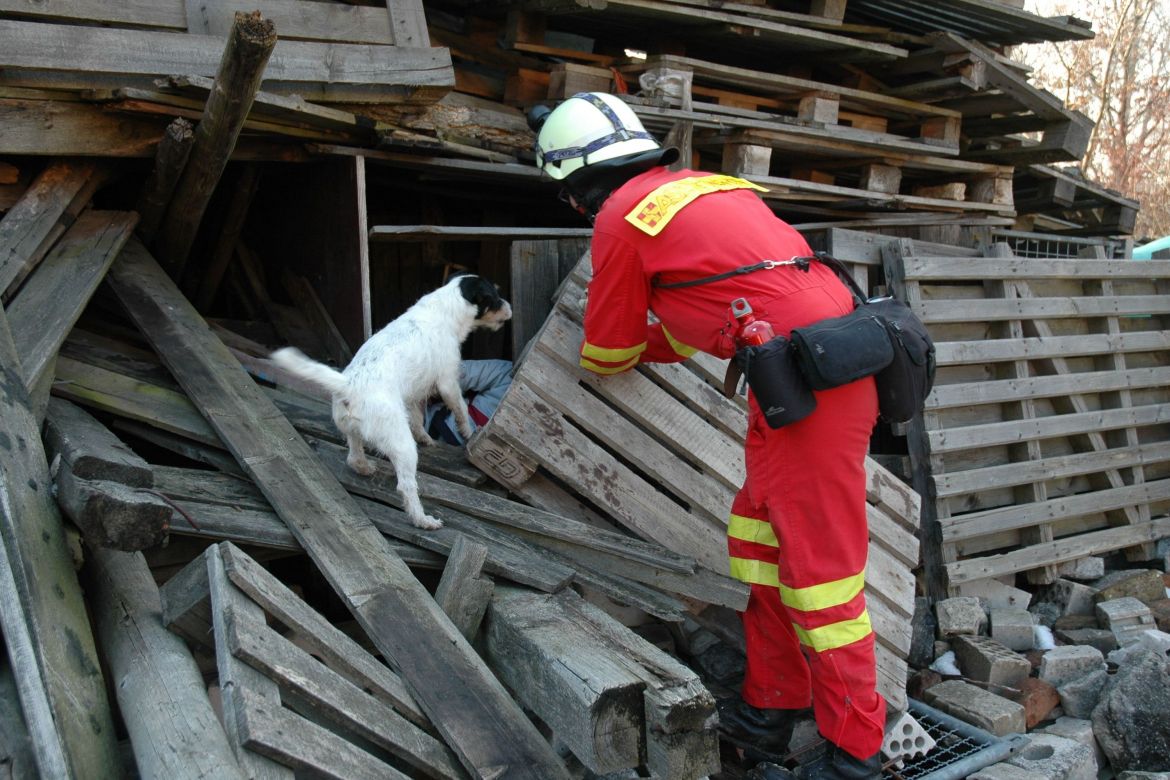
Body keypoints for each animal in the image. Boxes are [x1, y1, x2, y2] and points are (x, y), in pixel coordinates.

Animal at [276, 274, 514, 530]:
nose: (509, 307)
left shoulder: (414, 395)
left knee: (353, 457)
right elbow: (459, 409)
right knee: (406, 486)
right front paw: (469, 433)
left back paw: (365, 468)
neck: (446, 306)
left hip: (352, 429)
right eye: (495, 297)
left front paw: (427, 438)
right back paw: (423, 520)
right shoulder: (448, 382)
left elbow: (418, 420)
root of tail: (349, 385)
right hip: (402, 444)